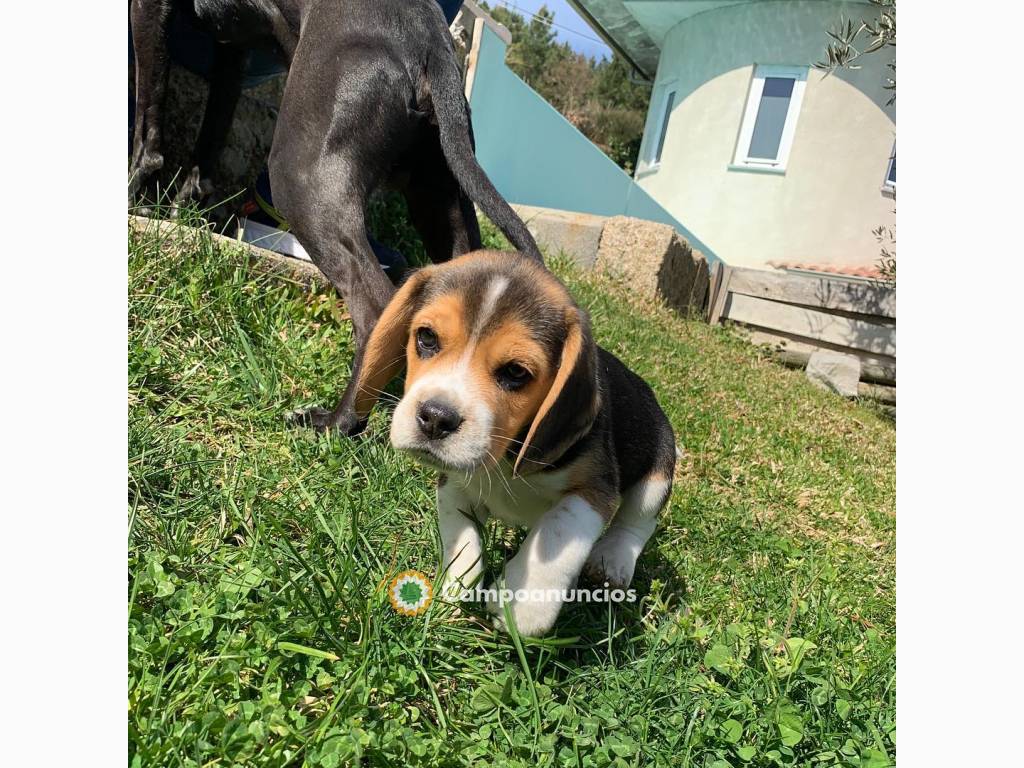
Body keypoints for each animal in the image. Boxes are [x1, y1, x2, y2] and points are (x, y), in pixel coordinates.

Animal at [131, 0, 540, 434]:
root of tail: (431, 39)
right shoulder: (232, 52)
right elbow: (210, 137)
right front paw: (185, 207)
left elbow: (147, 117)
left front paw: (135, 195)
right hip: (440, 196)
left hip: (300, 176)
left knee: (375, 307)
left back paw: (337, 422)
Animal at [356, 252, 675, 638]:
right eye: (426, 337)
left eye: (516, 372)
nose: (435, 418)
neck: (505, 458)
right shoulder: (453, 486)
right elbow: (463, 541)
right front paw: (452, 593)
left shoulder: (594, 490)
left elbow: (555, 533)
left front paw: (521, 606)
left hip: (658, 470)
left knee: (637, 521)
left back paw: (612, 560)